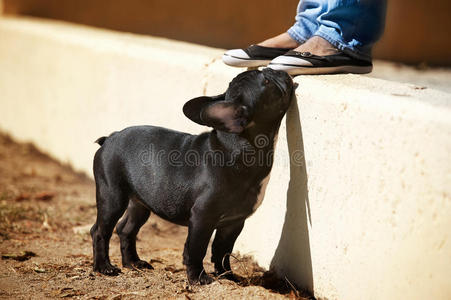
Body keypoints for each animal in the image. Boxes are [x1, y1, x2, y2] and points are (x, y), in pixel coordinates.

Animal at [92, 68, 296, 286]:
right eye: (266, 81)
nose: (274, 69)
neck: (238, 147)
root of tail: (110, 138)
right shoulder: (202, 216)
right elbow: (197, 248)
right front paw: (199, 278)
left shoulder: (233, 222)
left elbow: (222, 250)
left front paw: (227, 275)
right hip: (113, 197)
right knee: (100, 231)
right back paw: (104, 267)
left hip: (140, 203)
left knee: (126, 229)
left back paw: (133, 263)